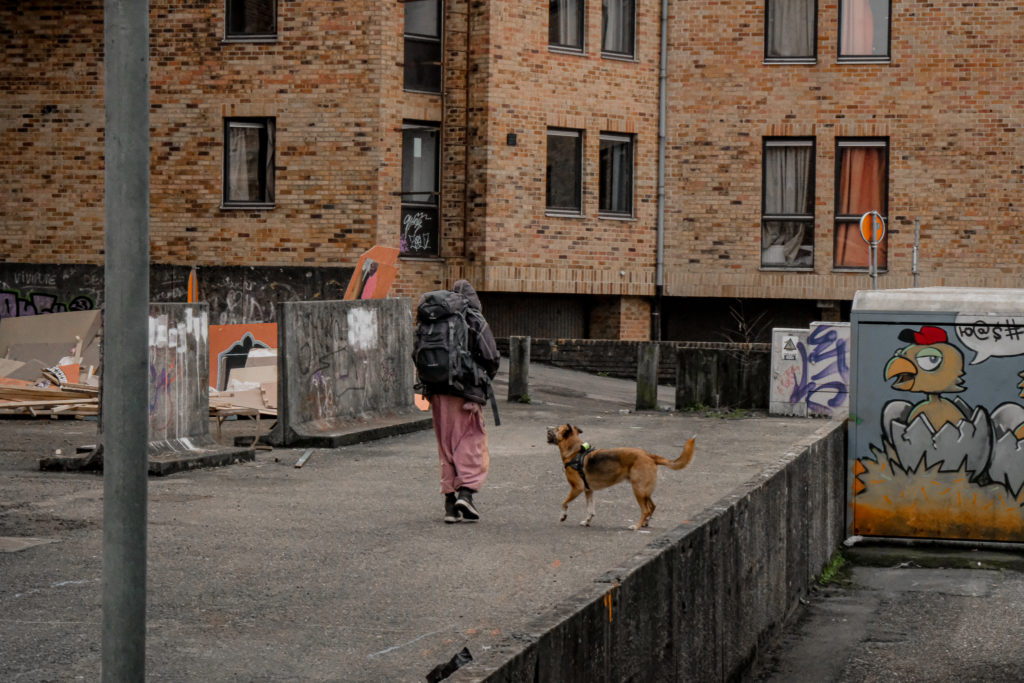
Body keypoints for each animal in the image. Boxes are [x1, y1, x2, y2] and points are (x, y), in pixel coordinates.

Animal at [544, 423, 696, 532]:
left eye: (557, 428)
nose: (546, 427)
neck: (575, 452)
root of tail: (649, 455)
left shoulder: (577, 488)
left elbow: (564, 503)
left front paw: (563, 516)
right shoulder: (588, 490)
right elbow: (590, 511)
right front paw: (587, 522)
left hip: (638, 490)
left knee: (646, 510)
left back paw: (637, 526)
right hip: (644, 491)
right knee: (652, 506)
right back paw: (645, 523)